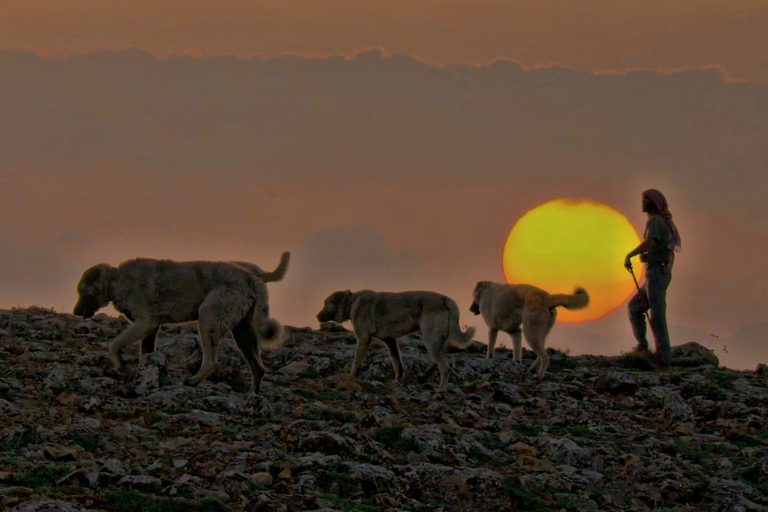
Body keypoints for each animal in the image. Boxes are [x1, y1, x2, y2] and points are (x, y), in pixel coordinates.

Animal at [316, 288, 474, 388]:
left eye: (326, 303)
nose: (316, 316)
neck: (351, 302)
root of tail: (445, 299)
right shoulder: (390, 341)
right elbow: (397, 364)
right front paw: (398, 381)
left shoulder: (363, 340)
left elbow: (356, 363)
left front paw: (351, 377)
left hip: (431, 341)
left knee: (445, 368)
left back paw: (441, 389)